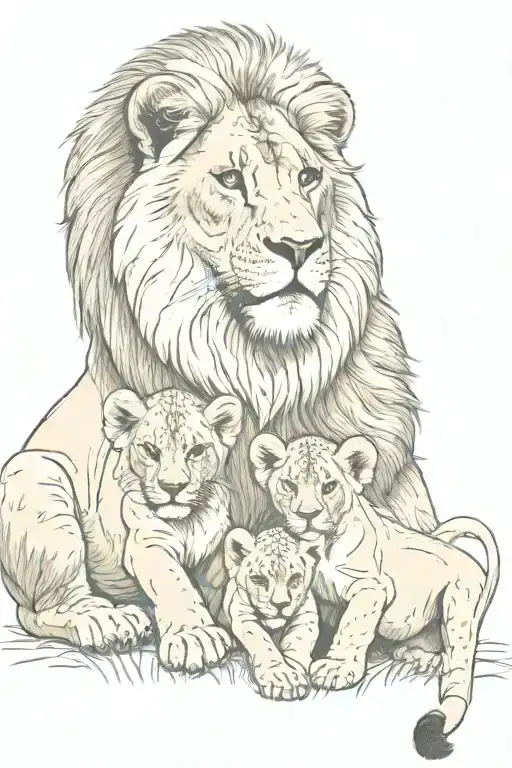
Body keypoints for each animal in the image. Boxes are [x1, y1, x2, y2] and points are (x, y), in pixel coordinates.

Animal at [0, 24, 437, 659]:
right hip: (33, 477)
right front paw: (196, 630)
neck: (267, 366)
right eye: (230, 180)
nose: (300, 246)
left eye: (308, 177)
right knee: (39, 609)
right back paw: (104, 620)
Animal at [222, 526, 320, 700]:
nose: (280, 604)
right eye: (259, 580)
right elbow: (263, 644)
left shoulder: (306, 616)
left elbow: (298, 642)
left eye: (294, 579)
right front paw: (282, 679)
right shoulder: (244, 616)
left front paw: (295, 676)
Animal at [250, 431, 499, 759]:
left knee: (458, 661)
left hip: (459, 603)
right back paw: (415, 655)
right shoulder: (313, 594)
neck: (319, 544)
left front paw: (337, 668)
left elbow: (352, 627)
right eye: (289, 485)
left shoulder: (371, 586)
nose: (307, 515)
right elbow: (315, 626)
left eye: (328, 487)